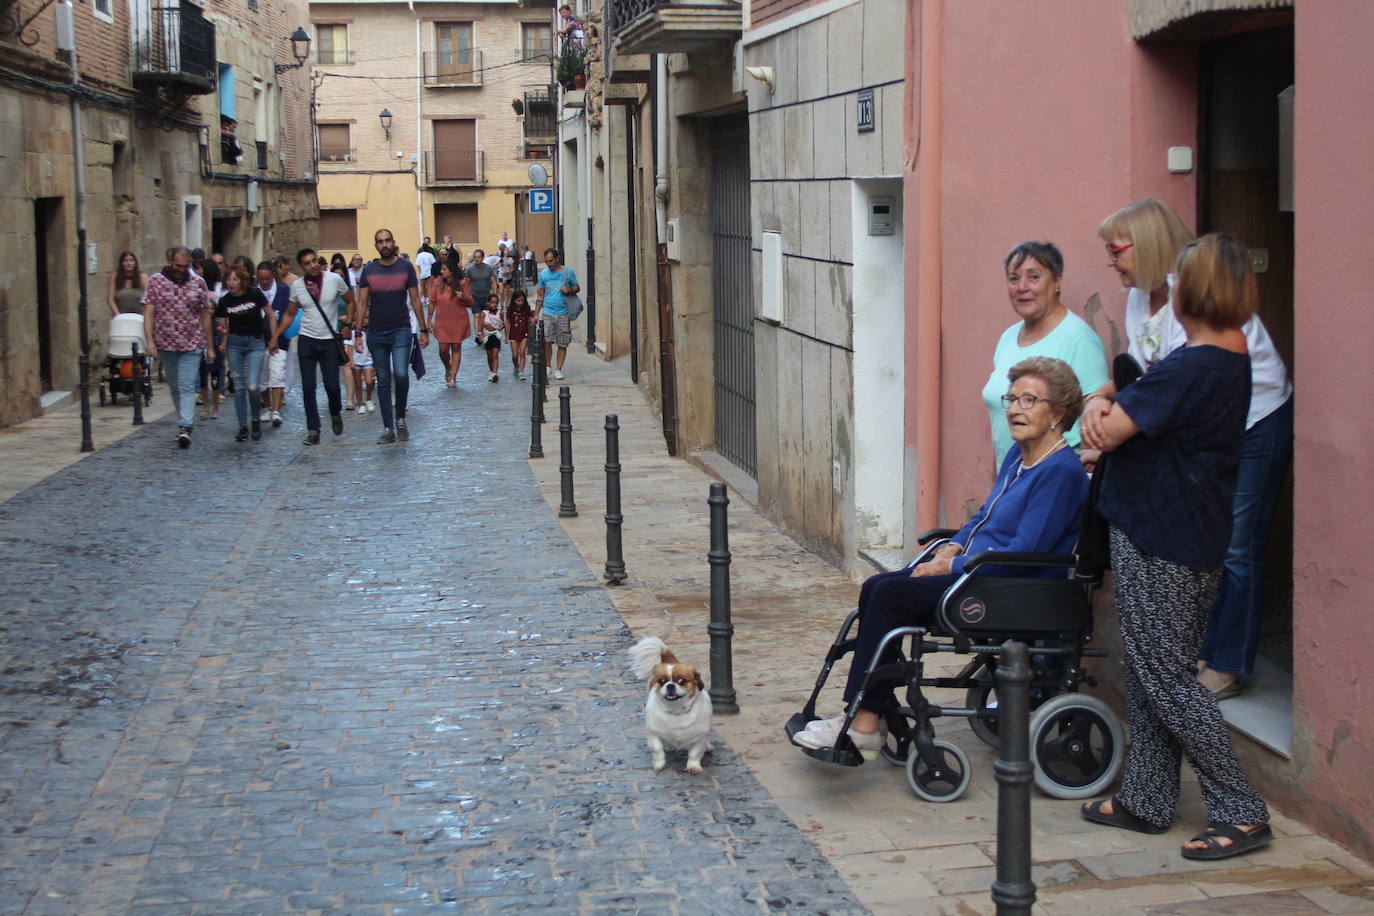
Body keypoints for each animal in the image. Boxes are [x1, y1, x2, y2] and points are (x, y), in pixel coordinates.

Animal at [629, 637, 714, 774]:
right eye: (662, 680)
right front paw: (659, 764)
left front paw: (693, 765)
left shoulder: (699, 736)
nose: (670, 685)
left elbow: (694, 753)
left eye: (681, 680)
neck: (676, 711)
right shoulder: (653, 734)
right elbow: (658, 750)